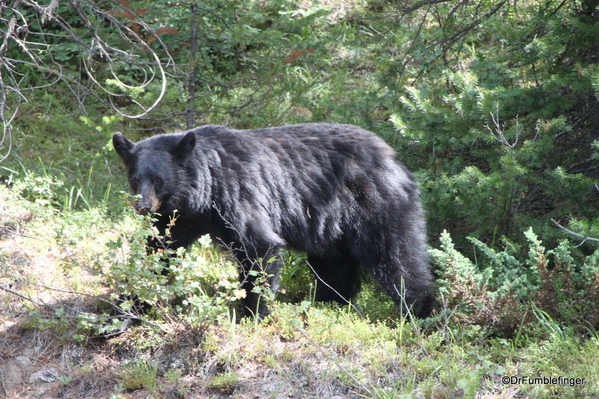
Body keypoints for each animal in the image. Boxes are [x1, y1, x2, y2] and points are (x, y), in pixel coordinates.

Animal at [112, 123, 434, 320]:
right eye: (135, 179)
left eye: (158, 179)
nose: (143, 206)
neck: (202, 190)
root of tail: (393, 158)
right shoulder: (180, 218)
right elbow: (158, 252)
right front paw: (125, 309)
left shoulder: (237, 194)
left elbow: (259, 246)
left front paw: (253, 313)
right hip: (332, 227)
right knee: (334, 267)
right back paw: (329, 303)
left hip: (375, 204)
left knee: (397, 257)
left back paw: (419, 312)